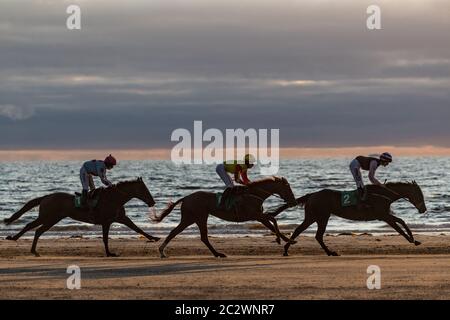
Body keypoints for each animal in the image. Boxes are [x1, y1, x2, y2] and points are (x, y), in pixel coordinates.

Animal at [2, 178, 158, 258]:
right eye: (144, 189)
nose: (152, 202)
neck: (114, 198)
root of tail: (46, 197)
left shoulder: (121, 218)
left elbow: (137, 229)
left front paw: (154, 238)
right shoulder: (106, 222)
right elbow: (105, 238)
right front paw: (109, 253)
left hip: (52, 219)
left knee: (37, 230)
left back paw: (31, 249)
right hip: (48, 217)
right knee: (31, 226)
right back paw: (16, 239)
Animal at [151, 176, 298, 258]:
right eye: (288, 188)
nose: (294, 202)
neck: (255, 194)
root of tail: (186, 198)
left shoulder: (259, 217)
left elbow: (272, 224)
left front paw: (288, 240)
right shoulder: (256, 215)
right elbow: (273, 219)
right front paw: (282, 240)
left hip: (192, 218)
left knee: (179, 233)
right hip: (197, 217)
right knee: (197, 236)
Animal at [268, 181, 428, 256]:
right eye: (419, 194)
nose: (424, 209)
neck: (383, 194)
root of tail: (312, 195)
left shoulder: (384, 215)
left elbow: (401, 221)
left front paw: (414, 239)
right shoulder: (383, 215)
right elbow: (399, 225)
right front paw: (412, 239)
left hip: (316, 217)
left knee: (305, 232)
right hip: (319, 216)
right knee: (313, 234)